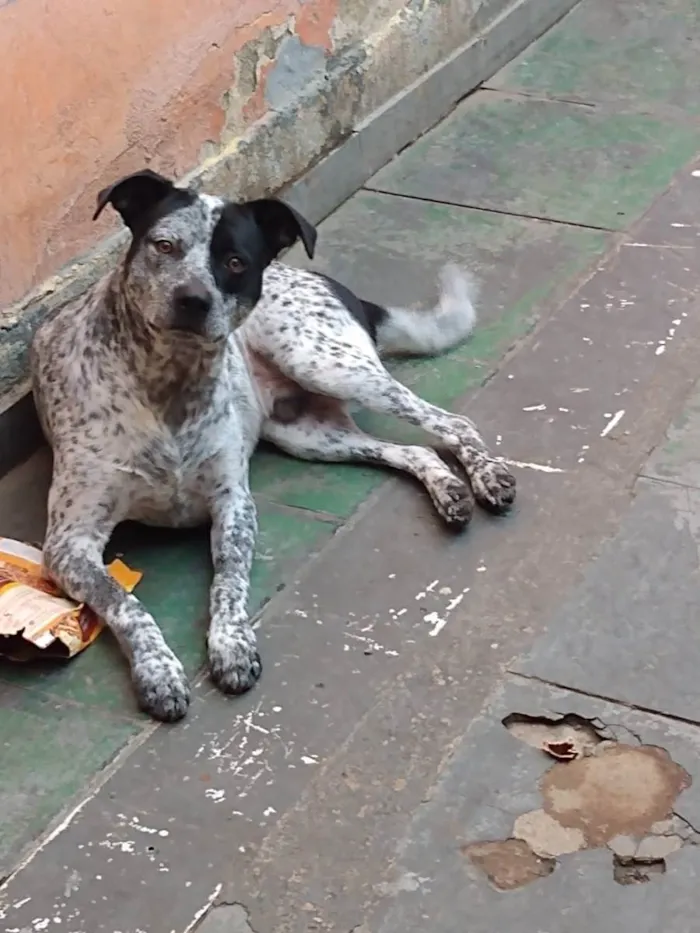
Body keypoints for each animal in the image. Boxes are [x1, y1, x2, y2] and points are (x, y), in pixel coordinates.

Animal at [30, 169, 516, 720]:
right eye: (165, 245)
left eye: (235, 262)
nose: (193, 300)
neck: (170, 386)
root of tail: (330, 283)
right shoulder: (70, 541)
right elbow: (125, 603)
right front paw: (159, 672)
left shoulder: (234, 506)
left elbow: (228, 583)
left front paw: (232, 644)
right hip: (307, 431)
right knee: (415, 450)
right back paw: (450, 491)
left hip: (330, 366)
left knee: (452, 422)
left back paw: (487, 476)